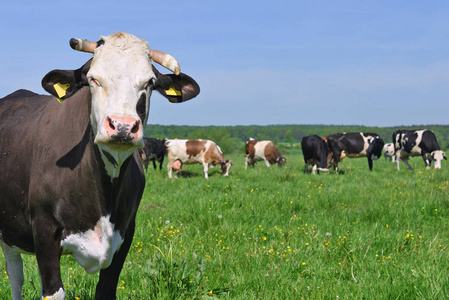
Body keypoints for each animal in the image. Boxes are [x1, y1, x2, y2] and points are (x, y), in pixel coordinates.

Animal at [0, 31, 200, 298]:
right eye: (93, 79)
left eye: (149, 82)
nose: (123, 126)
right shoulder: (44, 230)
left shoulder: (125, 234)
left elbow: (106, 289)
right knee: (15, 275)